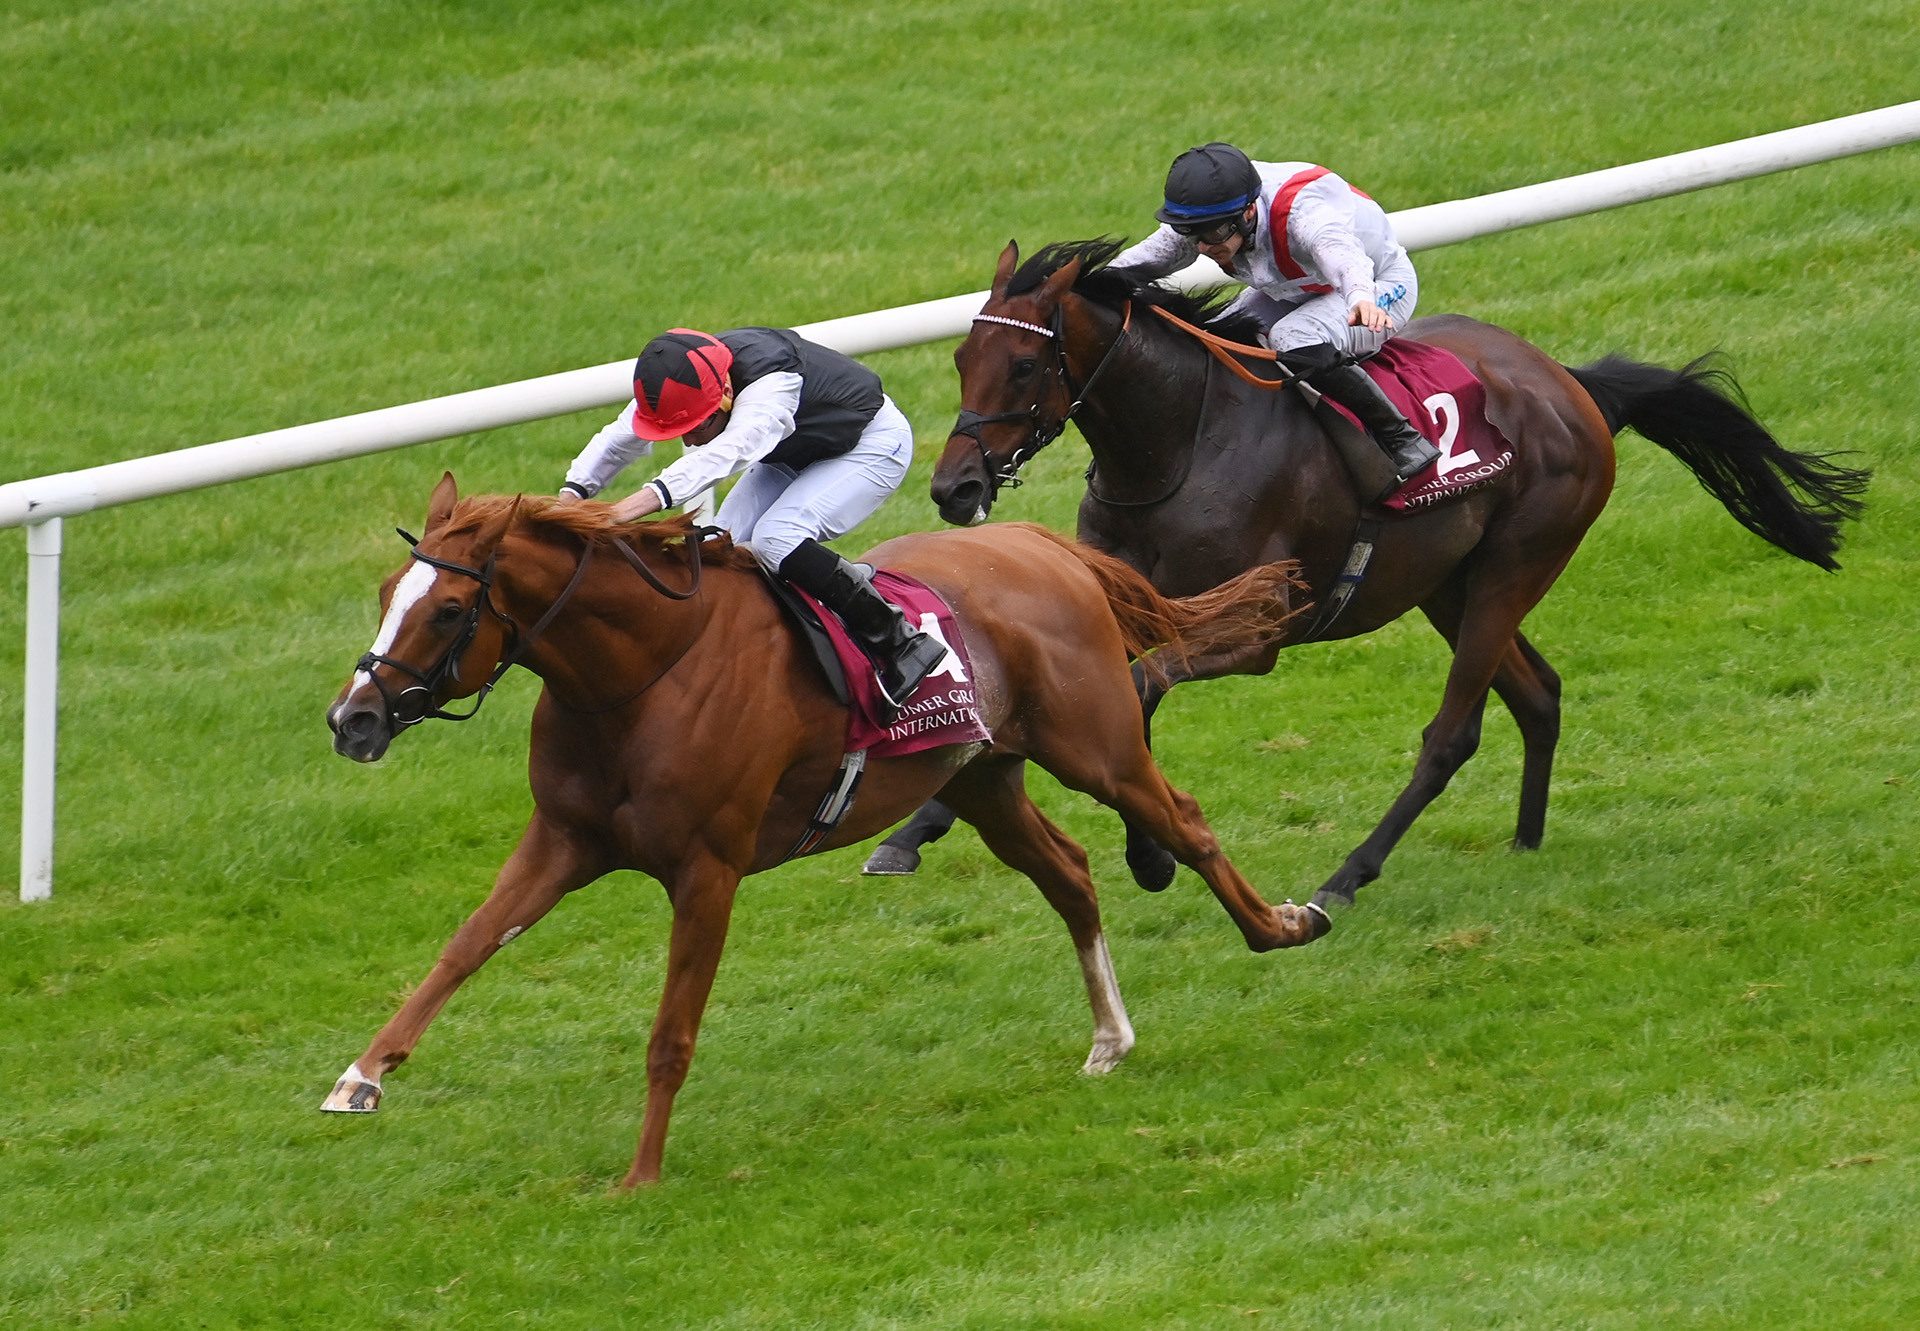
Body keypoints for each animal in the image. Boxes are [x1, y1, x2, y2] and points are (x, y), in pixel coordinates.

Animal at [330, 472, 1320, 1175]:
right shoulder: (565, 840)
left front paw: (641, 1175)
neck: (643, 675)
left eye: (448, 608)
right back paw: (1111, 1036)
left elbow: (671, 1032)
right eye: (384, 591)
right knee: (1070, 874)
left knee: (1184, 825)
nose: (353, 720)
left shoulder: (708, 867)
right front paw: (360, 1077)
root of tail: (1040, 543)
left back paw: (1283, 923)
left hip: (1098, 748)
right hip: (980, 777)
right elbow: (466, 946)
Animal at [906, 241, 1866, 914]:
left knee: (1455, 732)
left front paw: (1149, 855)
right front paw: (918, 825)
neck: (1179, 446)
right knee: (1538, 693)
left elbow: (1139, 691)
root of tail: (1570, 383)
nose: (954, 489)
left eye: (1023, 365)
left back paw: (1349, 874)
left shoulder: (1257, 629)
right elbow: (1044, 703)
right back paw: (1526, 840)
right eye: (959, 360)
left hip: (1518, 561)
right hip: (1448, 582)